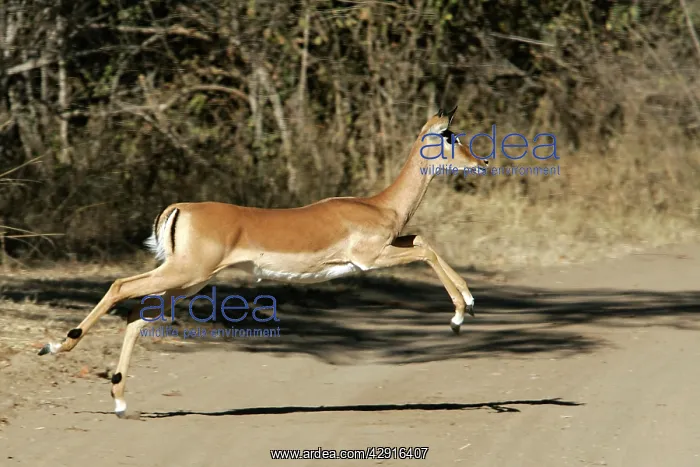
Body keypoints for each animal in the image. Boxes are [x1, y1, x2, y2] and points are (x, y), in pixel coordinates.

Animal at [39, 105, 489, 418]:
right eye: (450, 136)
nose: (481, 162)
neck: (380, 206)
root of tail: (179, 208)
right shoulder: (370, 258)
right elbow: (426, 249)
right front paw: (459, 314)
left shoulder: (389, 245)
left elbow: (424, 240)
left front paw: (467, 304)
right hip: (184, 274)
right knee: (121, 287)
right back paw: (56, 347)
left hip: (185, 282)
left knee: (136, 314)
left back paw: (118, 400)